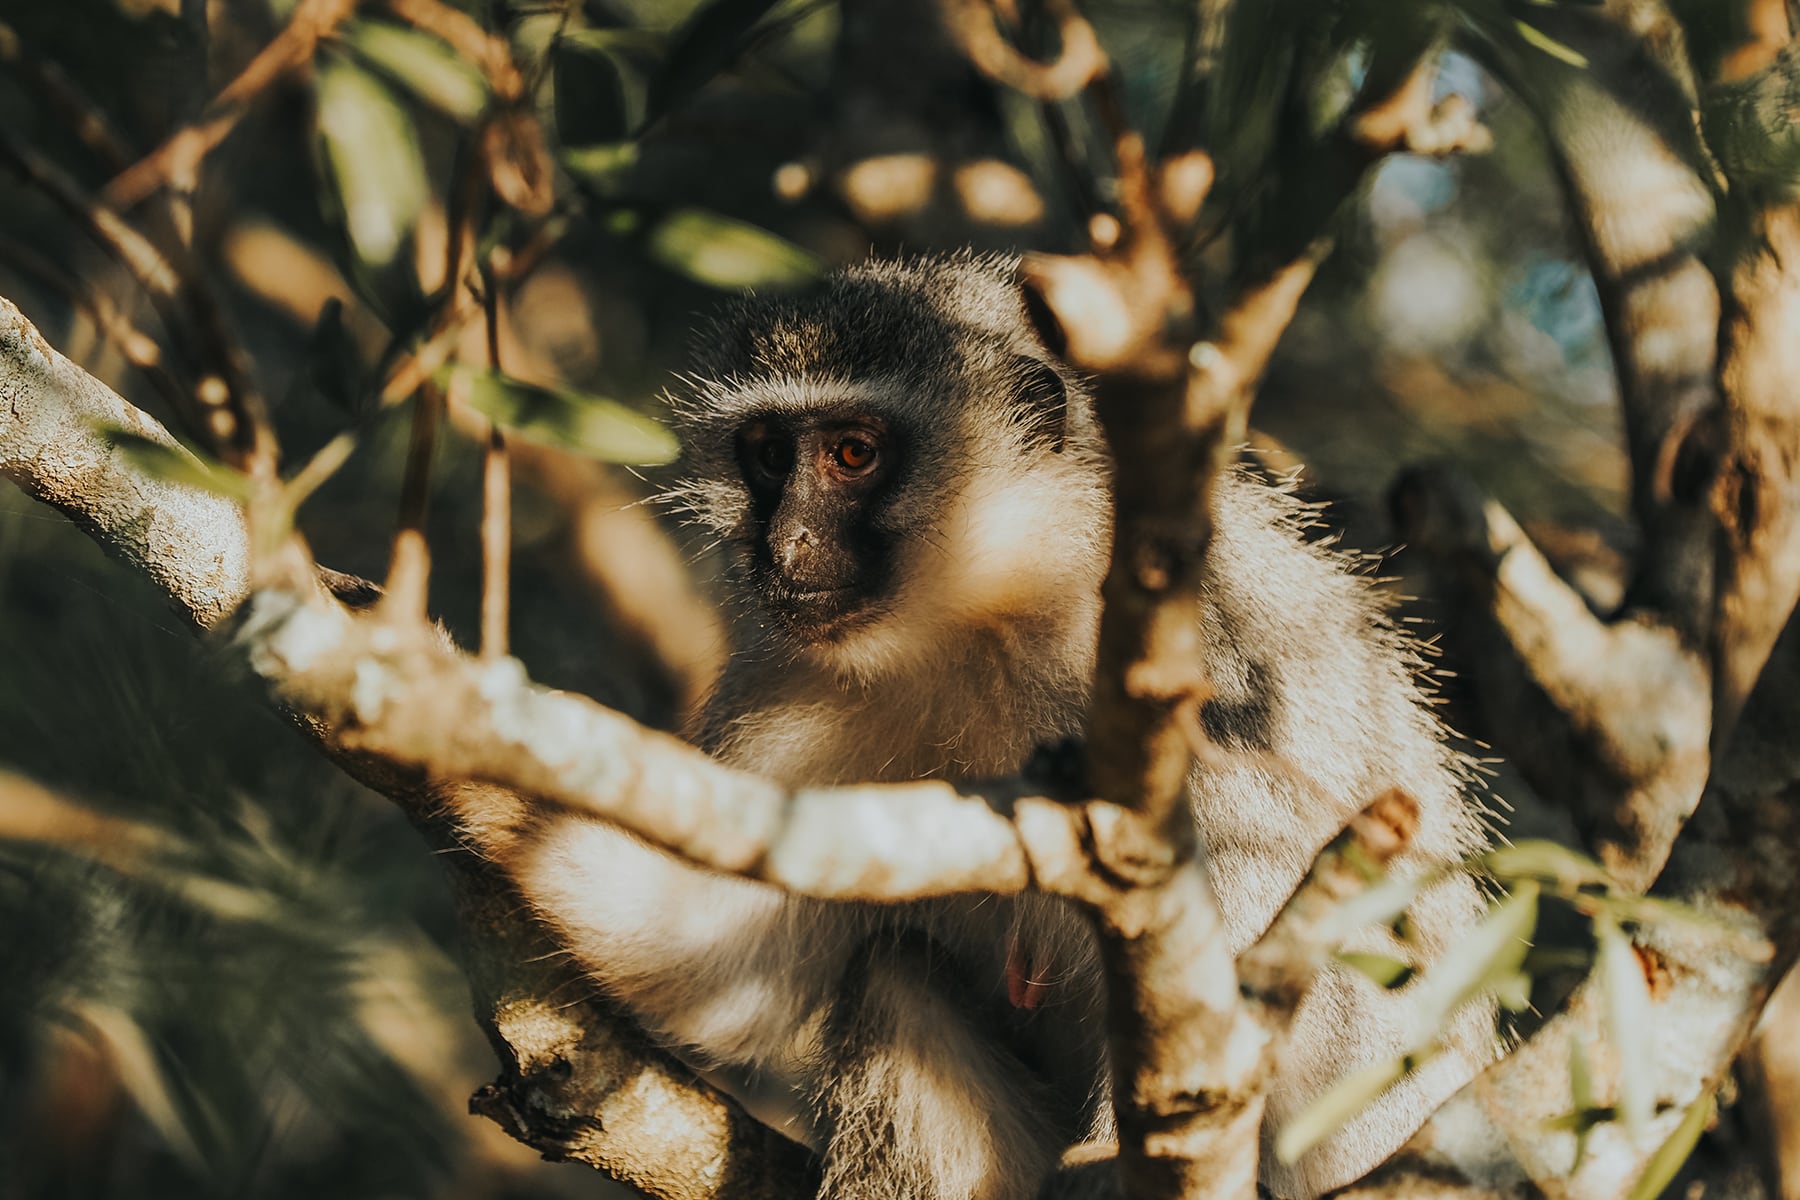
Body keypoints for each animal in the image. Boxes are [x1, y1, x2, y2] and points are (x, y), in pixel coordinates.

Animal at [457, 253, 1494, 1200]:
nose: (787, 545)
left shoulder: (1203, 656)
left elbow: (1298, 897)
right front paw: (479, 763)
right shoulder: (792, 688)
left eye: (853, 454)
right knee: (892, 975)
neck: (982, 617)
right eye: (769, 456)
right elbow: (729, 949)